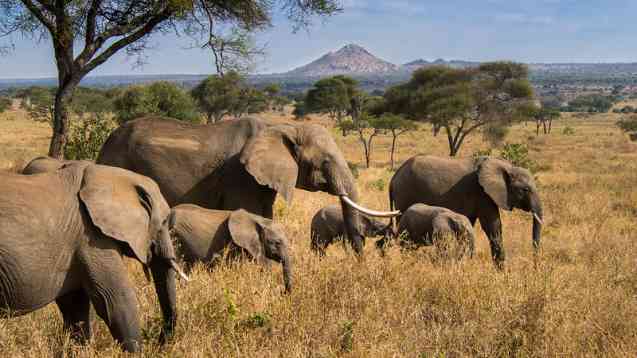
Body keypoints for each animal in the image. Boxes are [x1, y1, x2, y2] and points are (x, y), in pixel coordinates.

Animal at [388, 155, 540, 268]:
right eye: (525, 190)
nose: (535, 267)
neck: (506, 166)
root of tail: (393, 178)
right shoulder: (482, 193)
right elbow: (493, 226)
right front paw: (501, 272)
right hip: (404, 194)